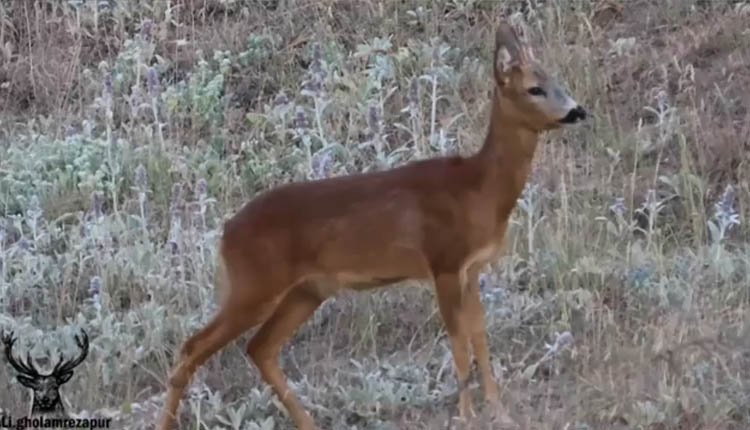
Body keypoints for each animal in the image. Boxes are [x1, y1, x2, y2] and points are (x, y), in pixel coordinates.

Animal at [159, 21, 592, 430]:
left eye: (556, 80)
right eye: (535, 88)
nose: (578, 111)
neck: (477, 190)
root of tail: (225, 234)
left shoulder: (472, 268)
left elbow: (480, 341)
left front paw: (500, 414)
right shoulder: (444, 261)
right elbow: (458, 344)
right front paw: (467, 417)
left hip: (306, 291)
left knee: (260, 348)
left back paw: (309, 422)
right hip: (254, 285)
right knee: (192, 347)